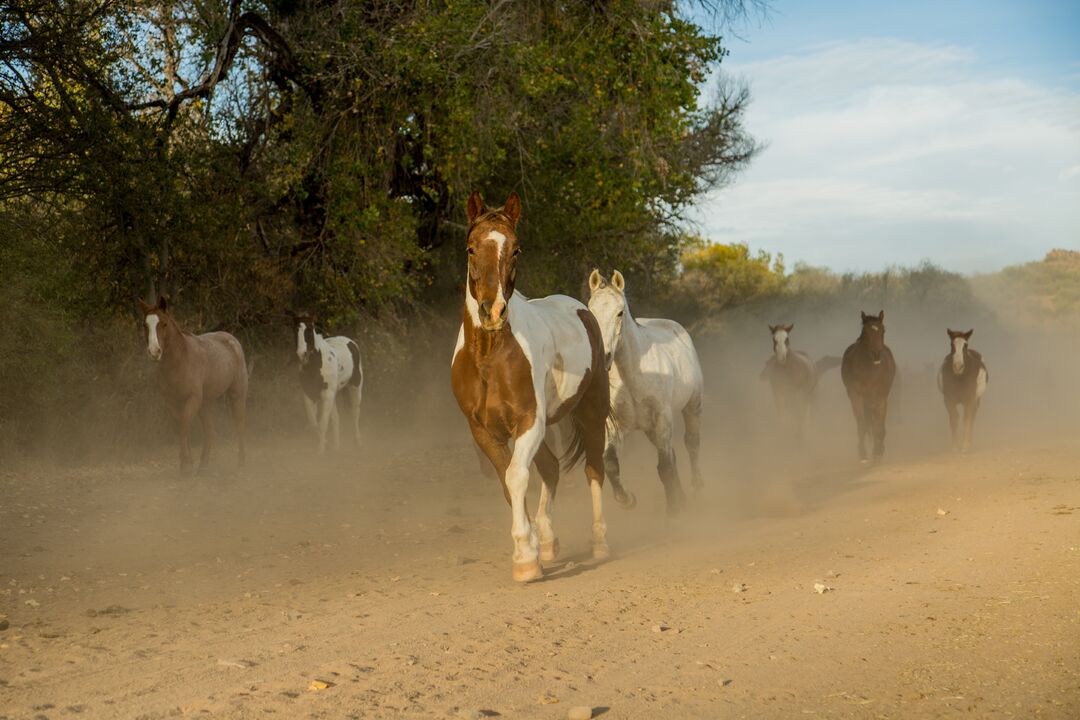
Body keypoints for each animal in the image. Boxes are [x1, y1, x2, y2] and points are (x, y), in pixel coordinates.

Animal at [138, 295, 247, 474]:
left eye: (164, 323)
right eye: (145, 325)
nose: (154, 351)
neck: (179, 361)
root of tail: (232, 340)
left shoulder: (192, 398)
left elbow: (184, 424)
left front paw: (186, 465)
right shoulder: (171, 402)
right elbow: (180, 428)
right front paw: (187, 463)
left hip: (236, 394)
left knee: (239, 425)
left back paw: (241, 462)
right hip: (206, 404)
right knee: (209, 431)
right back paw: (203, 465)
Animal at [293, 313, 365, 453]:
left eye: (309, 329)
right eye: (295, 330)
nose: (301, 353)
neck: (316, 365)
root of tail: (351, 342)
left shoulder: (326, 394)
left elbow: (322, 424)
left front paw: (321, 451)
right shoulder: (309, 395)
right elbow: (314, 424)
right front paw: (326, 445)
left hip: (355, 386)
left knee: (355, 413)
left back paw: (358, 442)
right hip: (334, 395)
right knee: (336, 418)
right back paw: (336, 446)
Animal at [447, 191, 617, 587]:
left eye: (516, 249)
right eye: (471, 248)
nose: (492, 312)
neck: (488, 356)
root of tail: (581, 309)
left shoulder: (528, 422)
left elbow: (516, 476)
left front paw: (525, 559)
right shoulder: (483, 431)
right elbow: (509, 482)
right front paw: (535, 549)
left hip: (590, 411)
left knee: (594, 469)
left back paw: (599, 543)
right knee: (552, 468)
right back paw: (551, 541)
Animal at [587, 268, 704, 511]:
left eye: (620, 313)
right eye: (591, 311)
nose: (604, 356)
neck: (631, 378)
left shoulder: (662, 417)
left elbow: (665, 466)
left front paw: (674, 509)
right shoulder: (614, 426)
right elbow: (610, 463)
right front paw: (628, 499)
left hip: (692, 405)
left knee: (691, 443)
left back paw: (697, 489)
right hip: (651, 429)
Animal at [838, 310, 898, 462]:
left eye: (883, 330)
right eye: (865, 332)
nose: (876, 355)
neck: (870, 371)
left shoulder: (880, 397)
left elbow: (878, 424)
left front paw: (878, 452)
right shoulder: (856, 397)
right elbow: (862, 425)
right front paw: (863, 455)